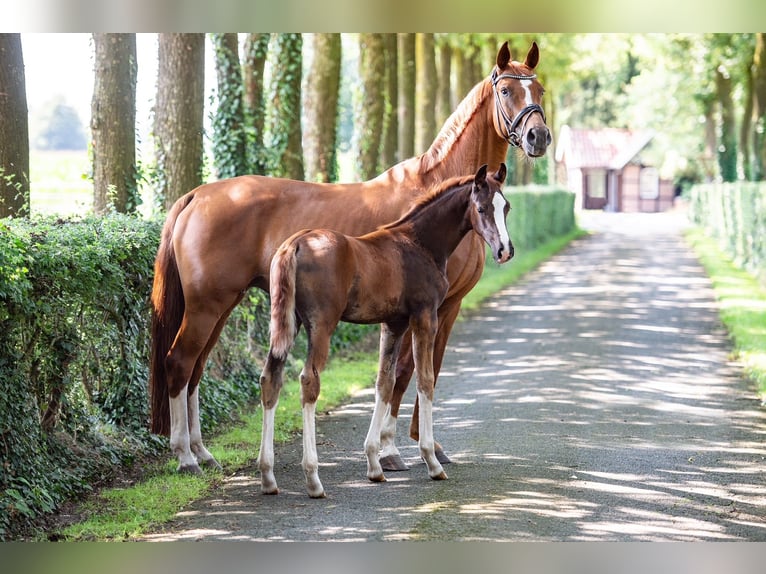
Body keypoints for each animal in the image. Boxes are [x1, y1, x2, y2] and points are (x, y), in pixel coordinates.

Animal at [260, 163, 512, 500]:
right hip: (321, 324)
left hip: (287, 324)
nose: (504, 251)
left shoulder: (394, 323)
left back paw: (268, 476)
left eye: (506, 207)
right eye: (482, 208)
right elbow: (425, 379)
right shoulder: (424, 316)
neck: (419, 244)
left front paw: (374, 463)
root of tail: (295, 244)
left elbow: (385, 381)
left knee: (270, 378)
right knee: (308, 381)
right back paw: (313, 478)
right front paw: (431, 460)